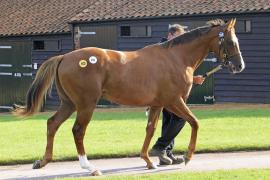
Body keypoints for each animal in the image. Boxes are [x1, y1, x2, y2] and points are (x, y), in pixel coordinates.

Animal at [13, 18, 245, 176]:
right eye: (231, 42)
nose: (239, 66)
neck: (175, 57)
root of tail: (64, 57)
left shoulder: (157, 104)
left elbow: (151, 129)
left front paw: (149, 160)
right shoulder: (174, 101)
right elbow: (194, 122)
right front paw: (187, 157)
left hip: (69, 103)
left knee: (52, 124)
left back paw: (43, 161)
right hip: (86, 104)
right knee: (78, 130)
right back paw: (90, 167)